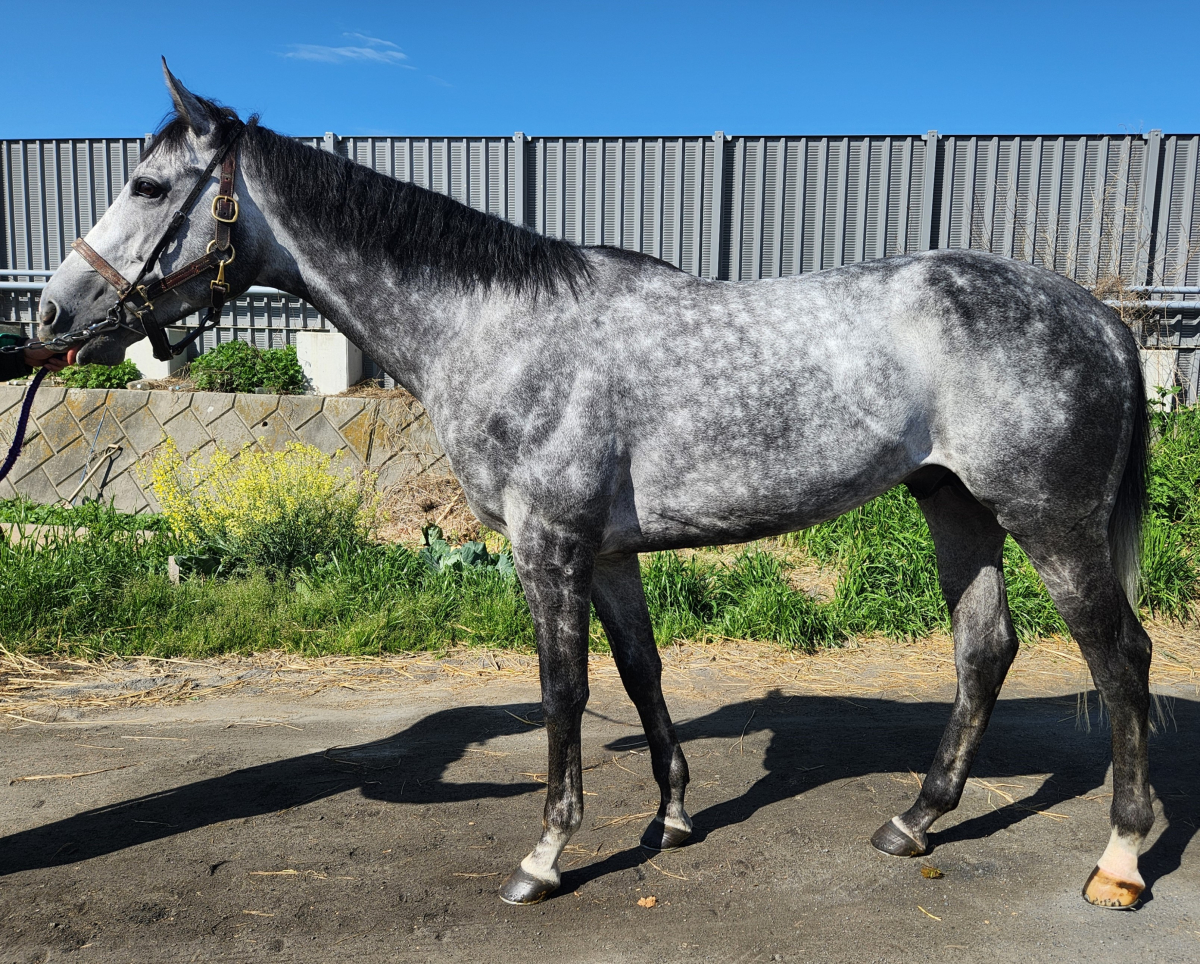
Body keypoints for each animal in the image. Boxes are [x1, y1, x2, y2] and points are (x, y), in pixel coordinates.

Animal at [37, 63, 1153, 911]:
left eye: (148, 186)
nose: (52, 315)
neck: (499, 328)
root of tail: (1099, 315)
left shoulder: (549, 549)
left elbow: (562, 690)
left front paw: (544, 855)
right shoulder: (610, 555)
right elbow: (642, 674)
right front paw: (672, 817)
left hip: (1048, 521)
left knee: (1120, 657)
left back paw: (1121, 859)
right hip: (954, 503)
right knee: (985, 650)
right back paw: (915, 820)